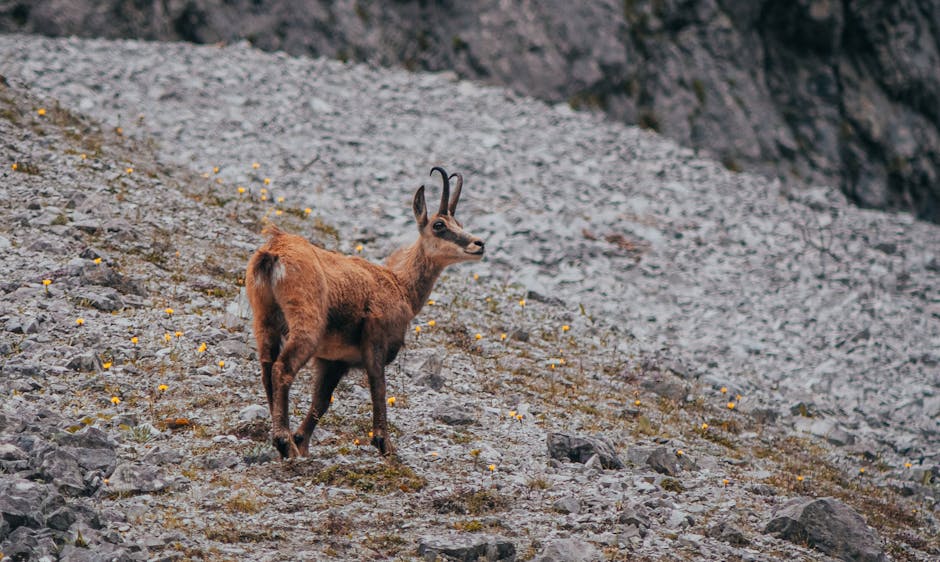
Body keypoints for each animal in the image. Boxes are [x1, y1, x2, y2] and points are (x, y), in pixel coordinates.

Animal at [245, 167, 485, 458]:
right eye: (439, 225)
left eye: (458, 222)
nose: (479, 244)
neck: (399, 285)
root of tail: (273, 252)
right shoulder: (375, 340)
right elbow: (378, 386)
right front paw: (384, 443)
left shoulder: (334, 360)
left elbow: (321, 401)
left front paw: (302, 441)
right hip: (307, 324)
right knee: (282, 368)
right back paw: (283, 441)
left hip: (264, 318)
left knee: (267, 369)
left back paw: (283, 440)